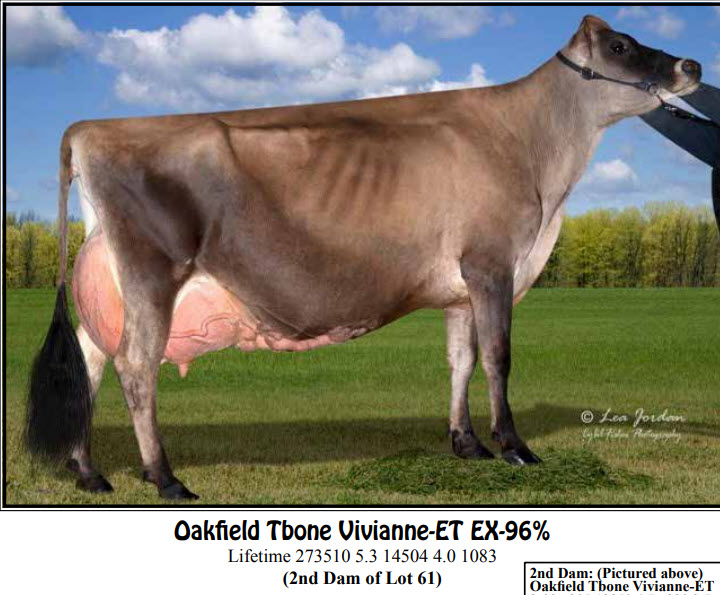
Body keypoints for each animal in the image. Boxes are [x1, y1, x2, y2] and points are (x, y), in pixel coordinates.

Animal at [26, 16, 702, 500]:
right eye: (620, 45)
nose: (692, 63)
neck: (535, 156)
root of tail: (90, 128)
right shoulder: (492, 264)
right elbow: (498, 358)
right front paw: (515, 447)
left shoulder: (460, 285)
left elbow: (460, 359)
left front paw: (466, 444)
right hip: (152, 272)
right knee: (136, 367)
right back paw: (164, 477)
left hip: (111, 282)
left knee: (90, 361)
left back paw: (88, 471)